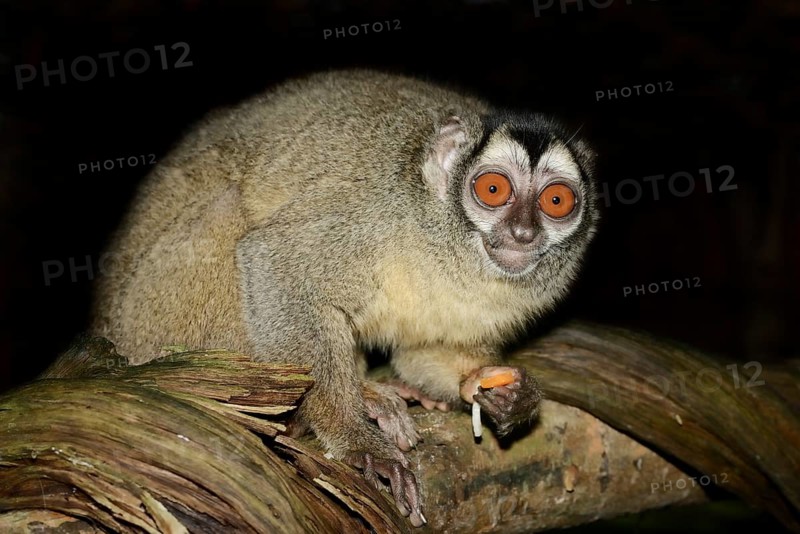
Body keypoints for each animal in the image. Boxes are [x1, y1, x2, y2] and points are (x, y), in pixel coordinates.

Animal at [89, 68, 599, 527]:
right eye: (493, 190)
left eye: (556, 201)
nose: (523, 233)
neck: (447, 247)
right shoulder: (371, 215)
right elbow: (276, 260)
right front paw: (356, 439)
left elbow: (426, 351)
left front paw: (503, 394)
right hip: (151, 320)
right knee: (229, 211)